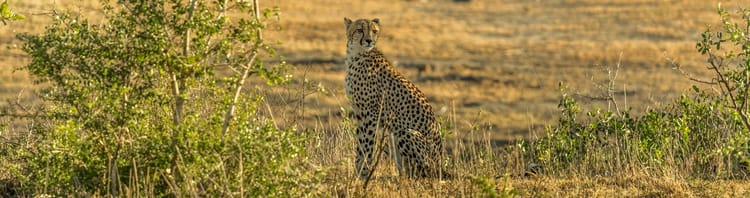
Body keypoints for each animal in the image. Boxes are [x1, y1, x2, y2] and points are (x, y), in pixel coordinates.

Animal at [346, 17, 446, 179]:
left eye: (374, 31)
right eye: (360, 30)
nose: (369, 40)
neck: (357, 54)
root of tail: (441, 166)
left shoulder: (371, 114)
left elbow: (367, 144)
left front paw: (364, 173)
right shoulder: (360, 113)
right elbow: (360, 143)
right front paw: (358, 172)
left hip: (406, 133)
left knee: (421, 172)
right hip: (391, 136)